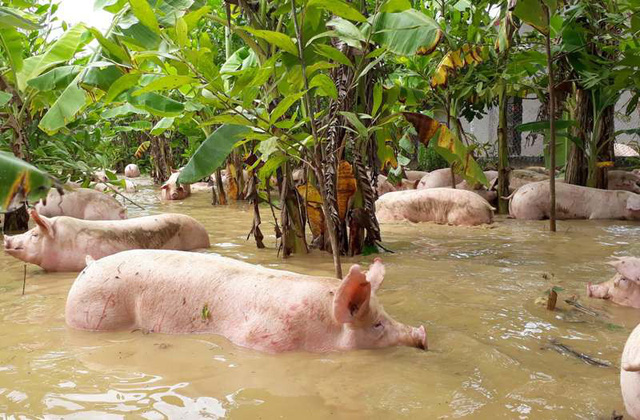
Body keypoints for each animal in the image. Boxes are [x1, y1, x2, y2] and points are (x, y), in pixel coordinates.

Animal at [65, 251, 428, 352]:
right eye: (377, 325)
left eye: (386, 315)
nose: (421, 334)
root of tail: (90, 265)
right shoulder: (264, 339)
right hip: (95, 312)